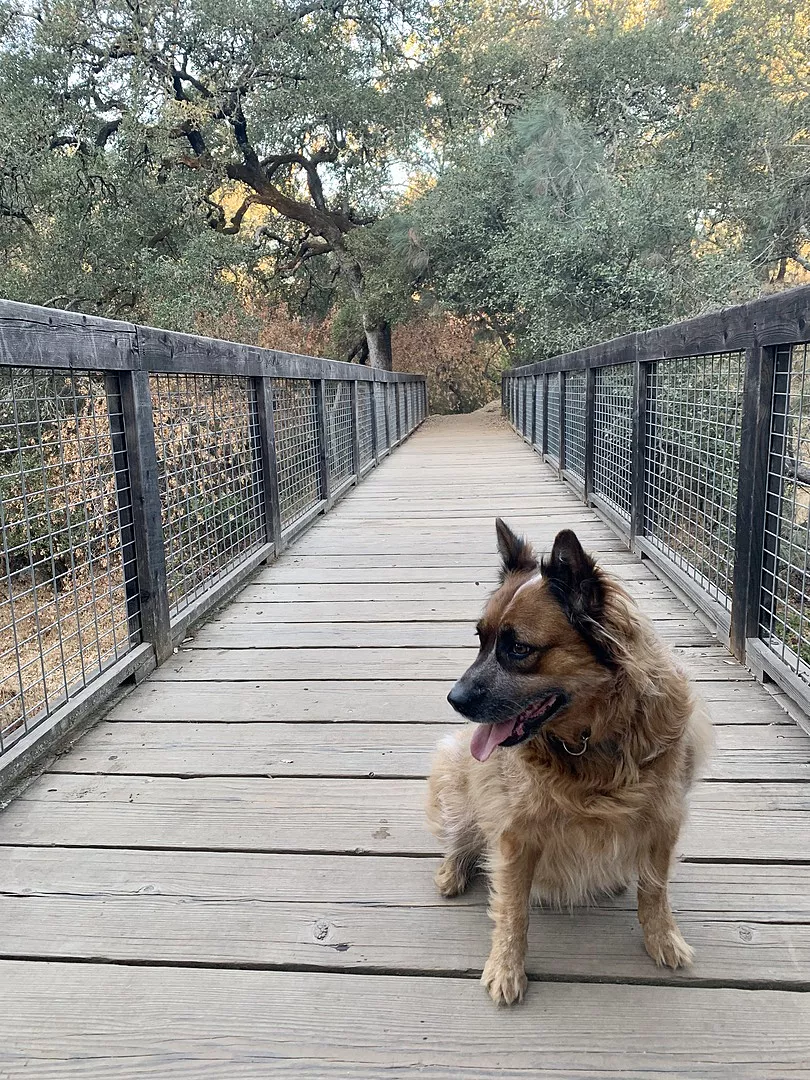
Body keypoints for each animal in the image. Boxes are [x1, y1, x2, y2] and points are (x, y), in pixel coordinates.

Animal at [427, 520, 712, 1006]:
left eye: (518, 649)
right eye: (481, 640)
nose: (453, 699)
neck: (590, 742)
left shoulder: (663, 819)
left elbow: (654, 891)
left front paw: (663, 938)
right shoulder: (515, 834)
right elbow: (513, 910)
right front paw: (506, 967)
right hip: (456, 778)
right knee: (461, 836)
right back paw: (453, 869)